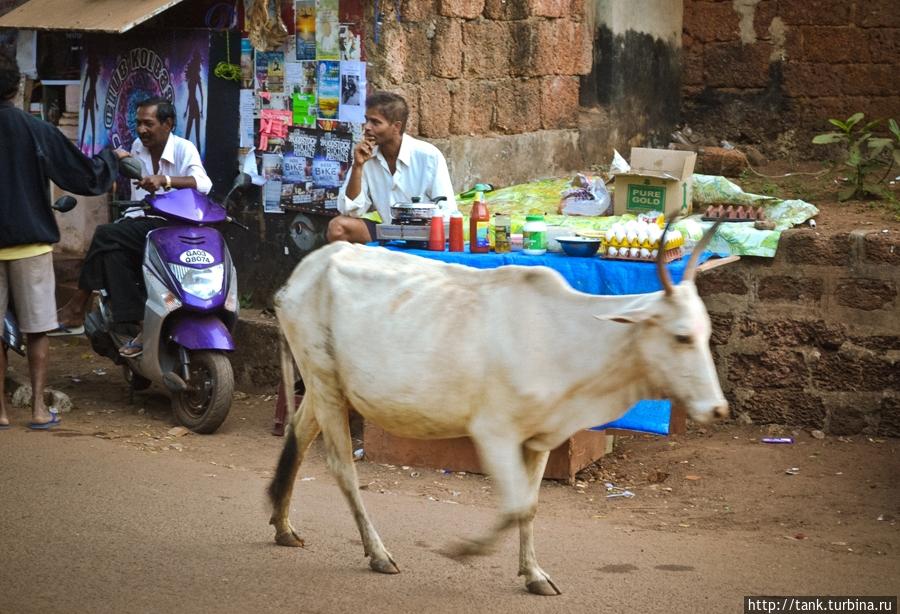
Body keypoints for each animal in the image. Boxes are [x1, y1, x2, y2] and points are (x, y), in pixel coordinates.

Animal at [268, 221, 732, 596]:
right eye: (681, 336)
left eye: (705, 332)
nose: (717, 409)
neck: (570, 337)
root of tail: (302, 273)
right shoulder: (494, 433)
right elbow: (515, 507)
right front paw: (467, 550)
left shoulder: (541, 438)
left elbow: (530, 505)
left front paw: (534, 575)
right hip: (325, 381)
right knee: (343, 468)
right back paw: (377, 553)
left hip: (324, 387)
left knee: (299, 432)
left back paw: (283, 525)